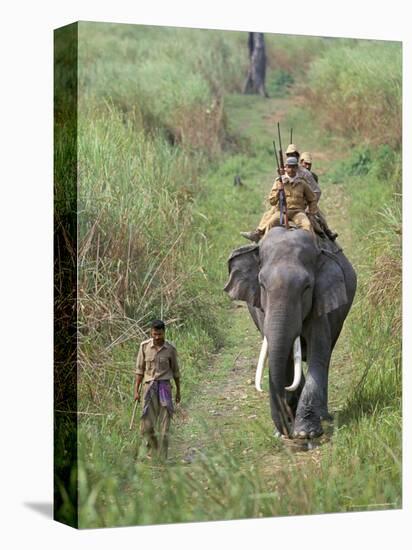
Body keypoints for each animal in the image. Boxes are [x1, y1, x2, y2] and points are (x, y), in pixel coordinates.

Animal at [224, 227, 356, 440]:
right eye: (262, 285)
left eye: (307, 287)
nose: (286, 430)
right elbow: (284, 359)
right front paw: (285, 430)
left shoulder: (320, 303)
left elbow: (318, 353)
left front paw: (305, 432)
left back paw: (323, 416)